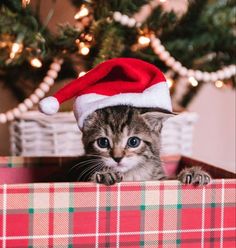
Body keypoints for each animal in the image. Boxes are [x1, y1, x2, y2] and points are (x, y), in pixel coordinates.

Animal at [68, 105, 210, 186]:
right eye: (103, 142)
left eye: (133, 142)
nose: (117, 158)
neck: (132, 176)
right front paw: (105, 175)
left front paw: (194, 173)